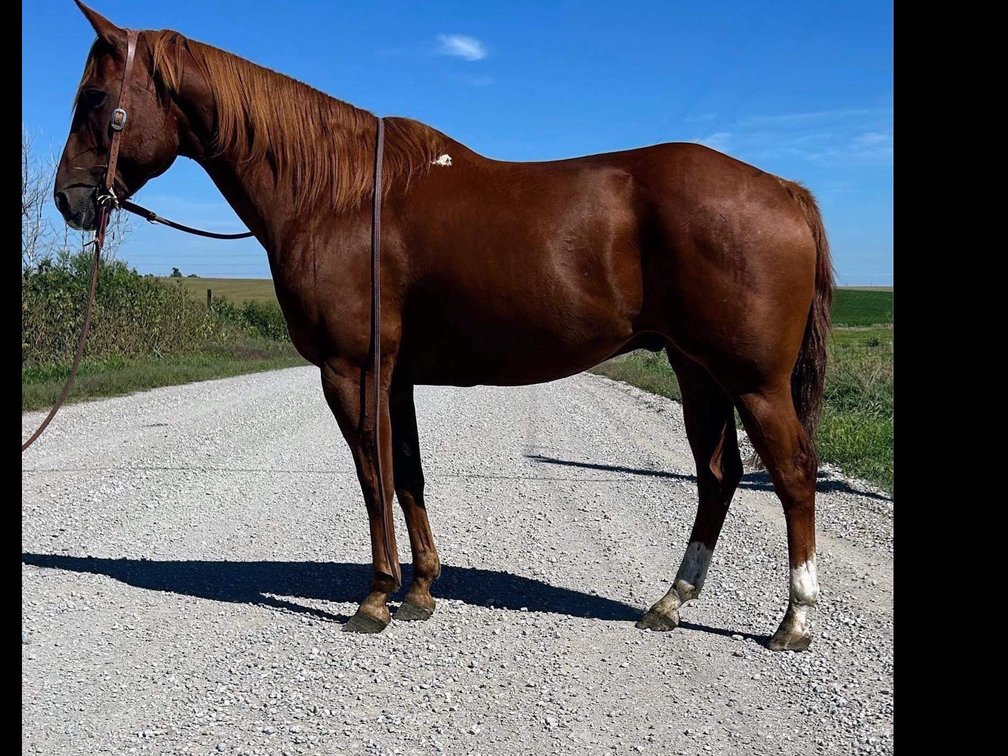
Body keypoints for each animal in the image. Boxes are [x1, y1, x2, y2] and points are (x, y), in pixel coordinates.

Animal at [54, 2, 833, 651]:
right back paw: (670, 603)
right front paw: (421, 590)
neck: (339, 196)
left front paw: (375, 599)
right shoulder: (394, 375)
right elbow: (408, 474)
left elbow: (373, 475)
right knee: (718, 476)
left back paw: (793, 620)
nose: (67, 198)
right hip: (696, 371)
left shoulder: (349, 370)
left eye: (93, 98)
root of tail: (784, 190)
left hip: (754, 382)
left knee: (793, 474)